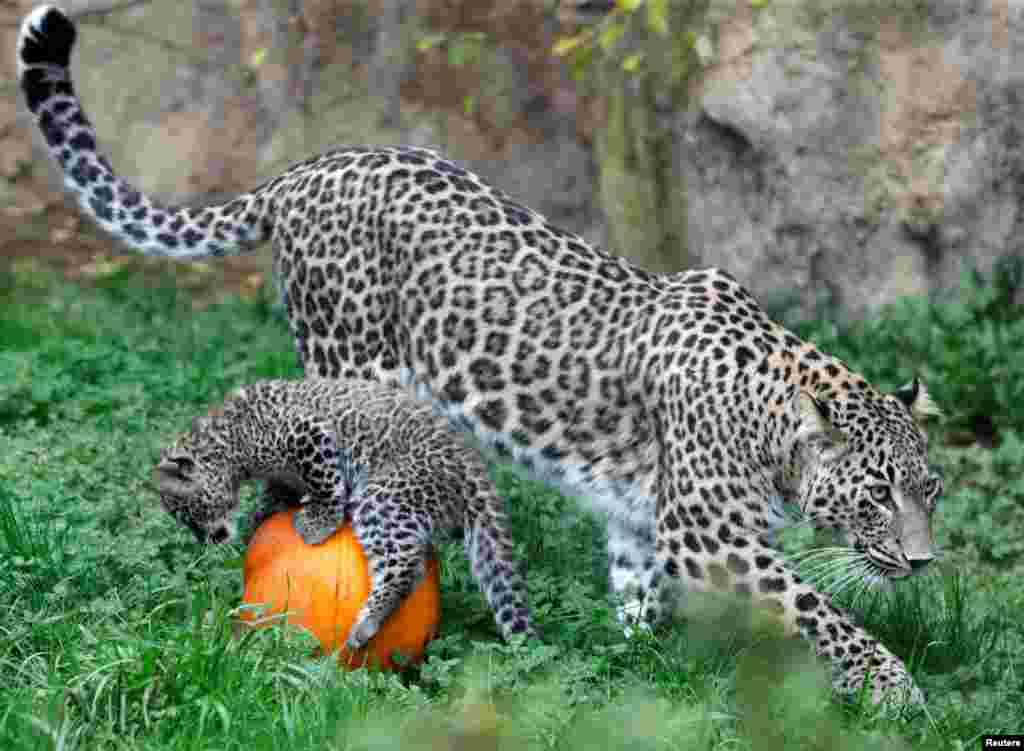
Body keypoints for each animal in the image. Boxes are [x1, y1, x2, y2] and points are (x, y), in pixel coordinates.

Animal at [155, 377, 534, 650]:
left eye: (187, 514)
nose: (206, 540)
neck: (229, 443)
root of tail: (472, 465)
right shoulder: (284, 473)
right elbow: (279, 491)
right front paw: (258, 518)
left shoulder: (307, 433)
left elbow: (324, 482)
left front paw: (318, 523)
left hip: (385, 497)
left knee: (406, 567)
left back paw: (365, 625)